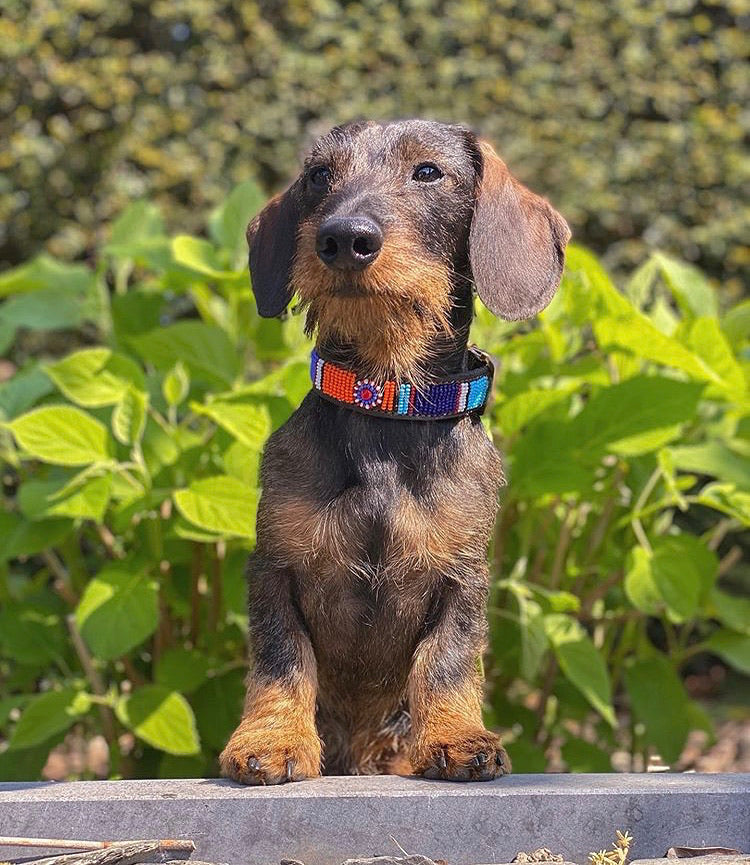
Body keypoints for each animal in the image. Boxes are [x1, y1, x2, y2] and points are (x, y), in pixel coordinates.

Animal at [220, 116, 572, 784]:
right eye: (319, 175)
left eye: (428, 171)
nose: (343, 238)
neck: (385, 398)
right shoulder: (274, 568)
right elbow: (282, 660)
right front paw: (273, 740)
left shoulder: (463, 577)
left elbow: (447, 661)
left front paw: (456, 738)